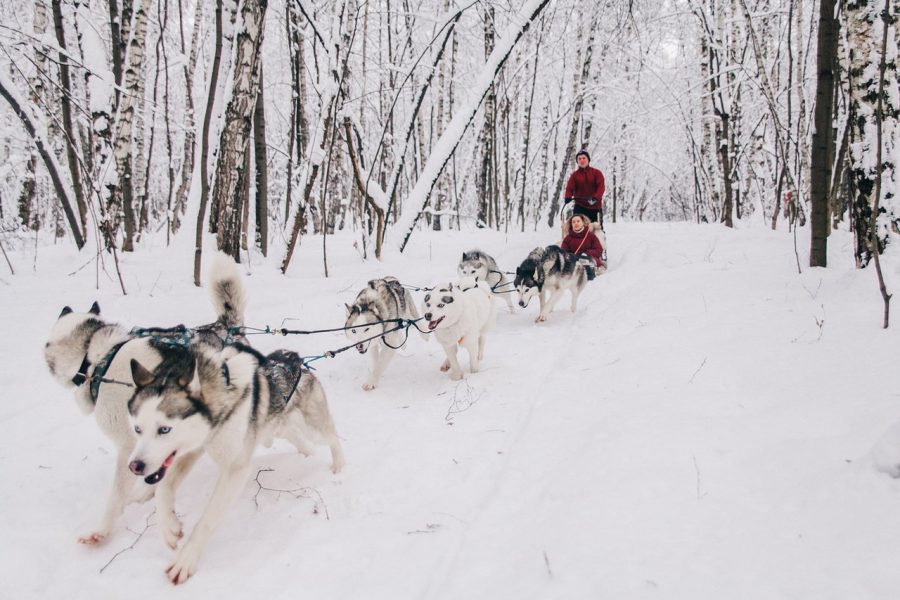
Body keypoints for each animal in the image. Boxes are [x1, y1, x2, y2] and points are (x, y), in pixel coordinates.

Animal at [123, 342, 342, 584]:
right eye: (137, 429)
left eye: (164, 429)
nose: (135, 466)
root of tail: (294, 359)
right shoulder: (193, 449)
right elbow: (163, 489)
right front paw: (169, 528)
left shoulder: (235, 469)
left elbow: (207, 520)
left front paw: (186, 559)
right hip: (277, 428)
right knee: (298, 438)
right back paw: (307, 455)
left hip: (314, 429)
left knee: (334, 437)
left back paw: (339, 466)